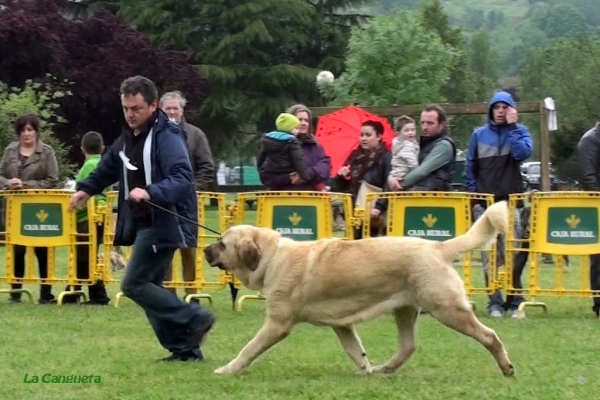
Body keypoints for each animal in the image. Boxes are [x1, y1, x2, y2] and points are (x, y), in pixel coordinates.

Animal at [204, 202, 512, 376]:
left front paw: (227, 369)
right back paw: (386, 368)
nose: (206, 249)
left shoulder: (277, 324)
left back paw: (506, 367)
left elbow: (249, 349)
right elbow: (355, 350)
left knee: (490, 336)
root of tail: (438, 246)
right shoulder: (342, 325)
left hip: (447, 309)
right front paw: (365, 370)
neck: (272, 257)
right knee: (408, 345)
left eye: (222, 243)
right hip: (405, 310)